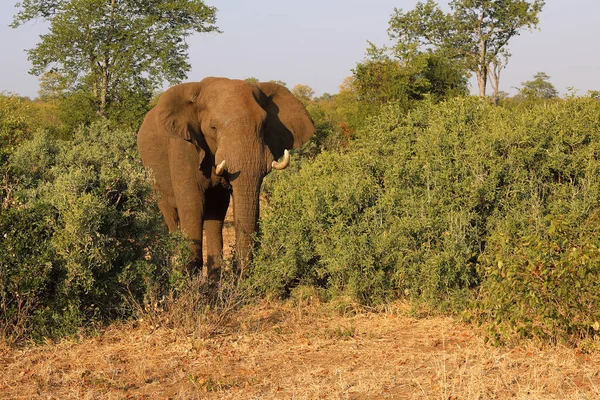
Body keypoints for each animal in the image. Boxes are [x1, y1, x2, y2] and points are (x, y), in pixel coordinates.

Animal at [136, 76, 314, 282]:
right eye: (213, 128)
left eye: (264, 126)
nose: (240, 274)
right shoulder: (183, 145)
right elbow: (192, 205)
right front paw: (190, 282)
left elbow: (226, 205)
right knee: (171, 213)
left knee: (214, 212)